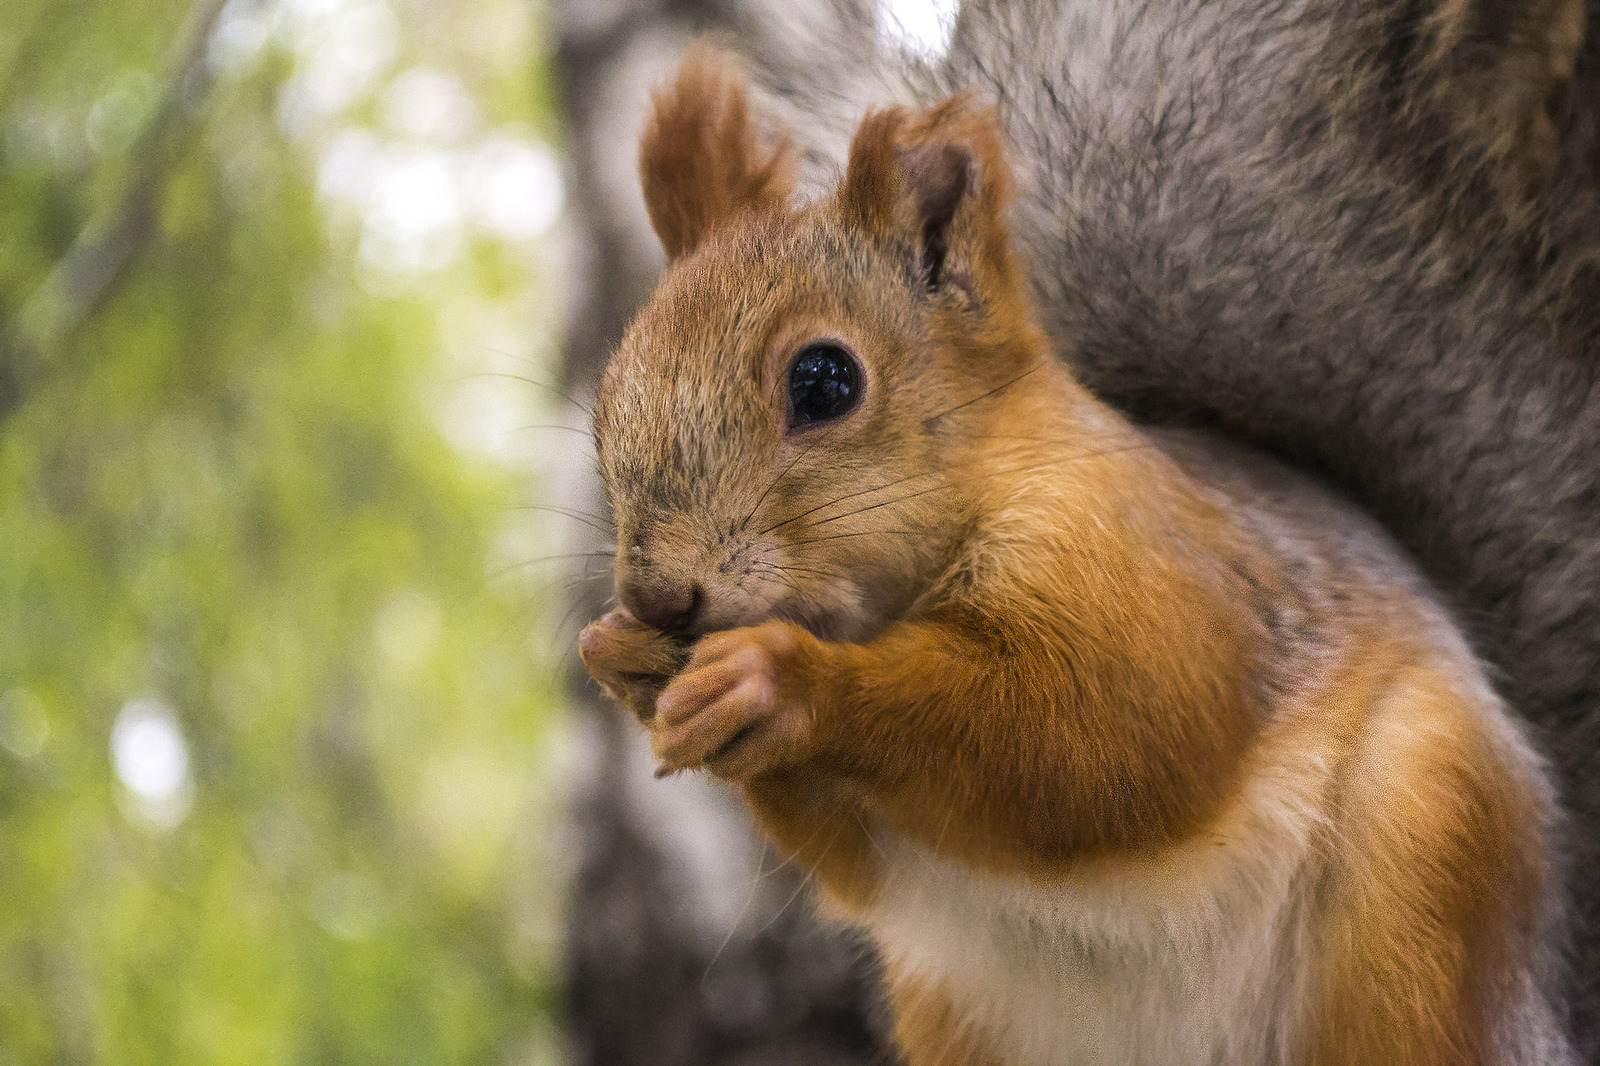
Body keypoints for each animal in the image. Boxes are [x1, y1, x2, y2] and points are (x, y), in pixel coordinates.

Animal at [579, 54, 1574, 1056]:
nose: (659, 598)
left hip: (1428, 865)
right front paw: (620, 657)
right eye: (608, 395)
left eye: (825, 382)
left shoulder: (1145, 561)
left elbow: (1095, 738)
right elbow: (859, 860)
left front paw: (780, 680)